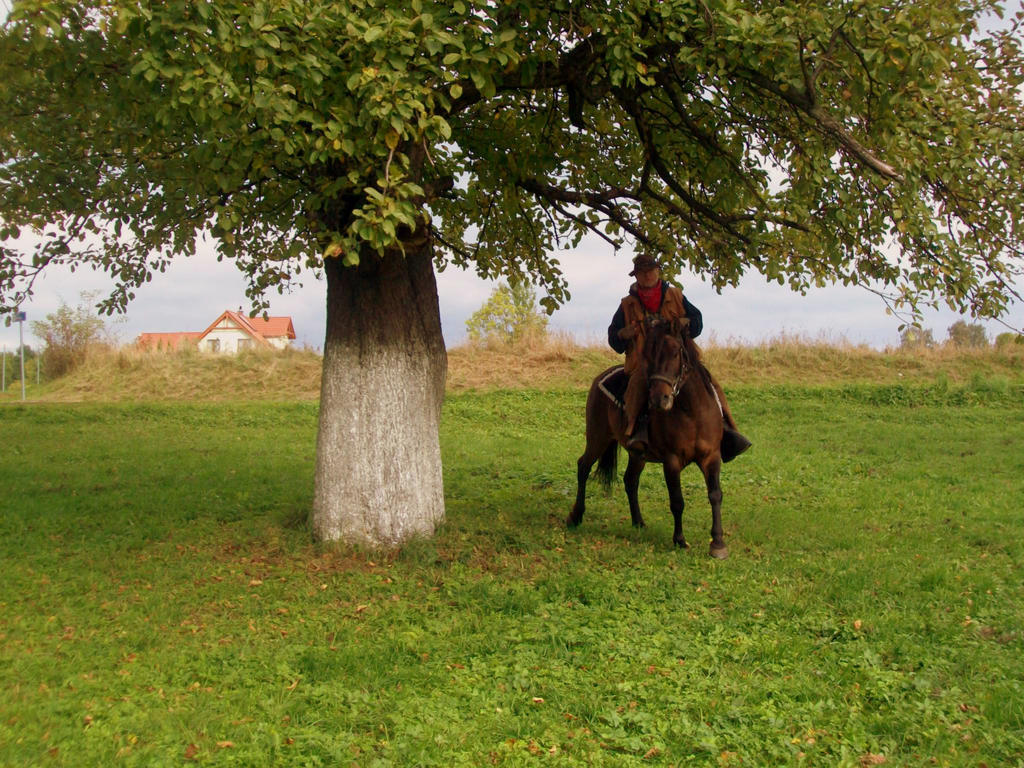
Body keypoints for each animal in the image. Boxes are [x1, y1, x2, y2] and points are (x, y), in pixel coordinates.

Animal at [569, 319, 729, 561]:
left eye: (675, 352)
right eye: (649, 356)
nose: (658, 399)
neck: (692, 412)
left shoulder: (711, 457)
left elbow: (715, 495)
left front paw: (718, 543)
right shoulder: (672, 461)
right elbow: (677, 501)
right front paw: (679, 540)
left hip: (637, 454)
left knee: (630, 480)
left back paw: (638, 522)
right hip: (598, 438)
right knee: (583, 466)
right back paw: (576, 516)